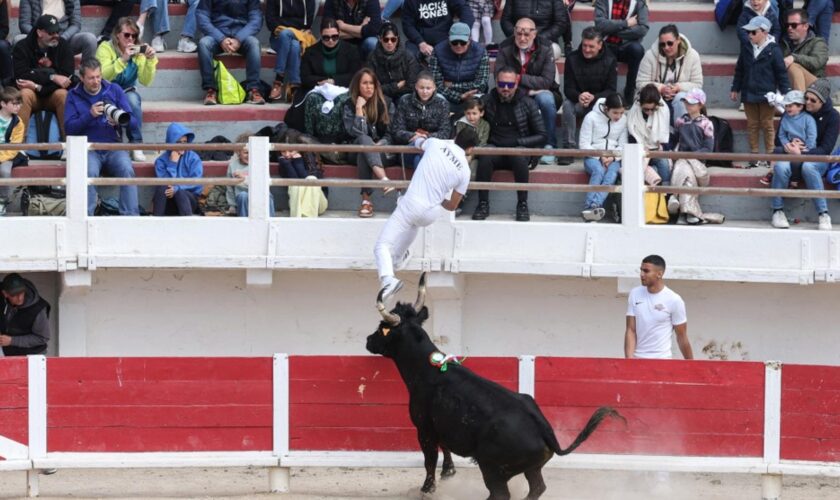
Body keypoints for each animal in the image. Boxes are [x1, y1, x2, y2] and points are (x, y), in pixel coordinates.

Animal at [368, 276, 624, 498]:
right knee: (537, 488)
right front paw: (449, 472)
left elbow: (429, 460)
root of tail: (545, 431)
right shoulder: (442, 425)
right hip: (531, 468)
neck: (427, 368)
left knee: (500, 493)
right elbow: (445, 448)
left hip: (492, 468)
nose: (368, 341)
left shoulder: (424, 428)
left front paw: (426, 489)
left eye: (382, 327)